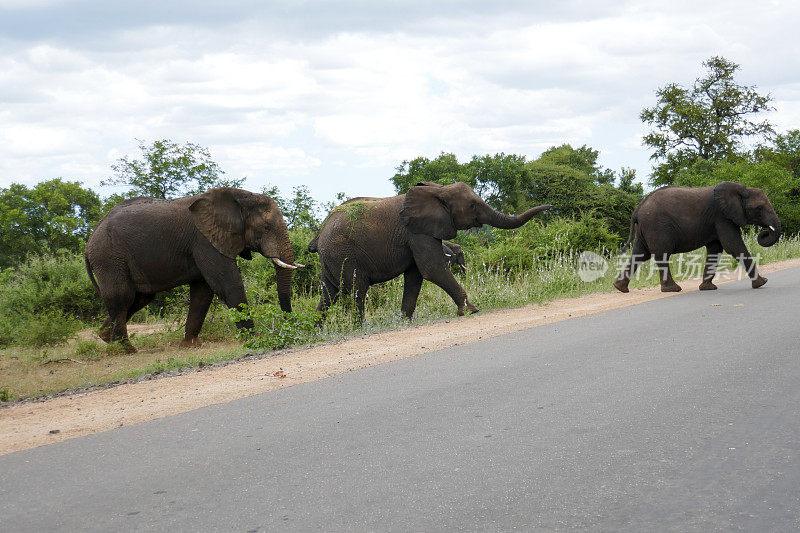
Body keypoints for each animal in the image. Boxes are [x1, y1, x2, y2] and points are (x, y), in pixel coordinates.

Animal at [84, 188, 304, 354]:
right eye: (266, 227)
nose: (289, 325)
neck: (240, 196)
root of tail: (90, 240)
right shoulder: (204, 241)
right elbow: (227, 284)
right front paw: (255, 338)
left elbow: (203, 292)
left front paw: (190, 346)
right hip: (109, 257)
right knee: (123, 296)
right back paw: (127, 349)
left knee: (140, 298)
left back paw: (106, 338)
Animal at [306, 181, 552, 318]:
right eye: (473, 205)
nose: (550, 205)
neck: (438, 191)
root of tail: (319, 233)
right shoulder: (417, 232)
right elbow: (432, 269)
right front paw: (470, 310)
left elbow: (416, 276)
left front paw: (405, 321)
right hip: (344, 253)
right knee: (357, 290)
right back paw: (359, 327)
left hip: (332, 259)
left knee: (328, 294)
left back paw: (316, 330)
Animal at [612, 181, 780, 294]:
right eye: (759, 208)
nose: (764, 231)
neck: (741, 189)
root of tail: (637, 209)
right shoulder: (722, 217)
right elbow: (733, 245)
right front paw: (762, 283)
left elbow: (715, 249)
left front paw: (707, 288)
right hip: (656, 226)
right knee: (661, 255)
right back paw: (673, 289)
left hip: (645, 229)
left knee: (640, 254)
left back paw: (620, 288)